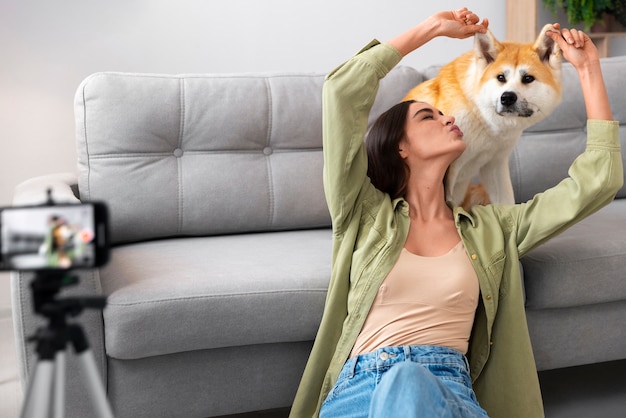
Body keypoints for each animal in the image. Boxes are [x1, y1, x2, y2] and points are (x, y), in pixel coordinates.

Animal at [402, 24, 564, 207]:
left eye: (528, 78)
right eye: (500, 77)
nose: (507, 97)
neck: (478, 113)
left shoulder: (495, 165)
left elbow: (506, 204)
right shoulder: (448, 173)